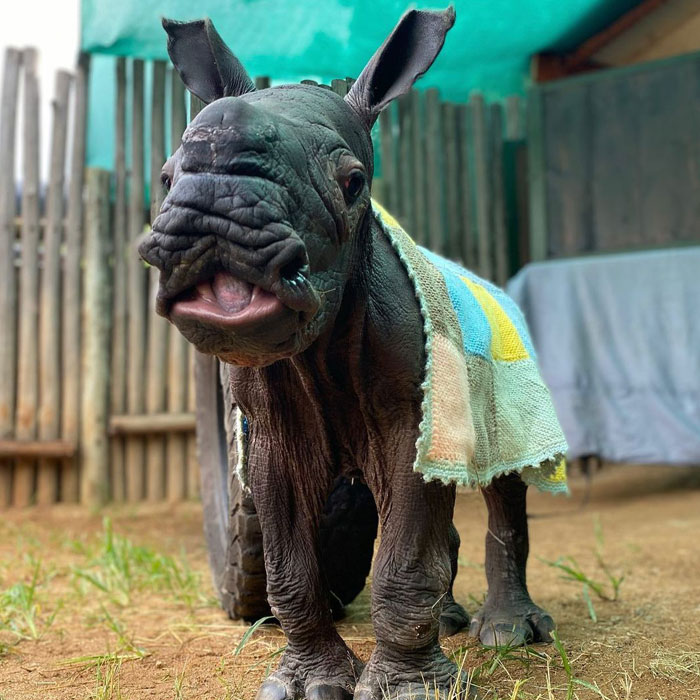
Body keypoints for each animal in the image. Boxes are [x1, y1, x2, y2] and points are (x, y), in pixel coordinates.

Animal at [141, 6, 568, 700]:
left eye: (353, 183)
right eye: (167, 178)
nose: (216, 203)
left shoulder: (416, 420)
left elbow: (404, 558)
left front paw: (410, 690)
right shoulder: (273, 436)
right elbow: (289, 566)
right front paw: (306, 684)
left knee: (504, 474)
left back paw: (508, 634)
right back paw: (450, 622)